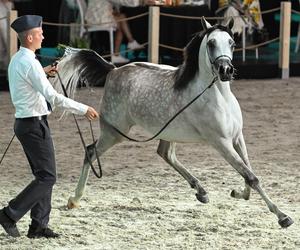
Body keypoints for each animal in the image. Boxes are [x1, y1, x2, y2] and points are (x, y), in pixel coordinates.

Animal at [51, 18, 292, 229]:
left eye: (232, 43)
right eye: (211, 43)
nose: (226, 70)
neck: (218, 96)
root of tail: (113, 70)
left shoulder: (237, 137)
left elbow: (249, 172)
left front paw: (238, 193)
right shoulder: (221, 142)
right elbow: (250, 176)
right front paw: (282, 216)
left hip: (167, 132)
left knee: (165, 153)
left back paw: (201, 191)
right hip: (114, 133)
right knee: (91, 151)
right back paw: (74, 198)